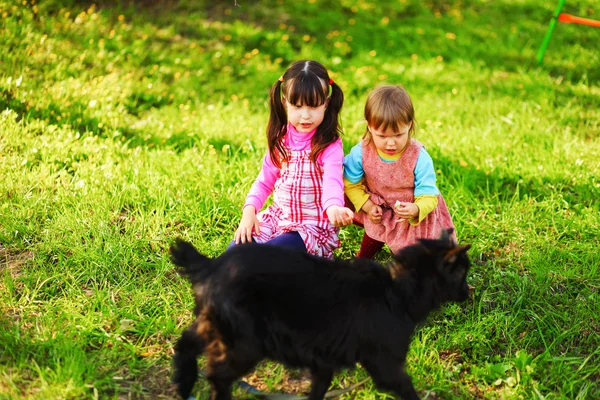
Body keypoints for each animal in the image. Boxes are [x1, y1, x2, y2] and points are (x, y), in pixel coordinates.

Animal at [171, 230, 472, 398]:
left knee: (184, 345)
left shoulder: (323, 362)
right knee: (217, 375)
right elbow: (408, 389)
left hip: (214, 326)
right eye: (463, 273)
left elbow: (317, 392)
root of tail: (212, 265)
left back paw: (184, 385)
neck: (397, 290)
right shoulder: (385, 365)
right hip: (245, 344)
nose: (468, 293)